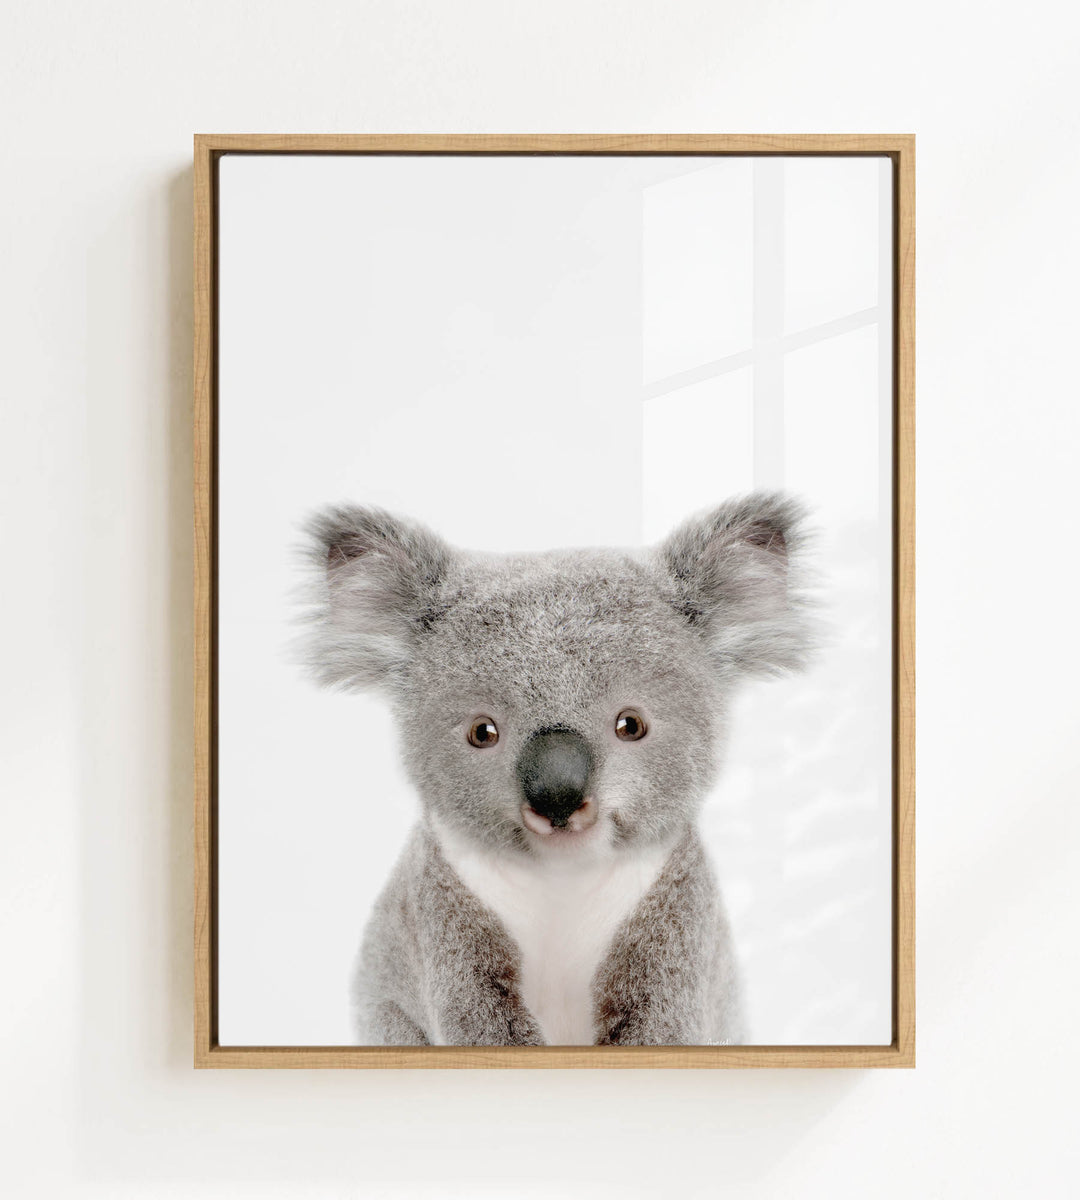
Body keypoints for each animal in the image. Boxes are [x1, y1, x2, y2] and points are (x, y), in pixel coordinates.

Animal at [303, 492, 813, 1046]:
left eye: (631, 725)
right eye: (482, 732)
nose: (557, 797)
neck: (561, 879)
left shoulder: (676, 920)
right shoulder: (442, 917)